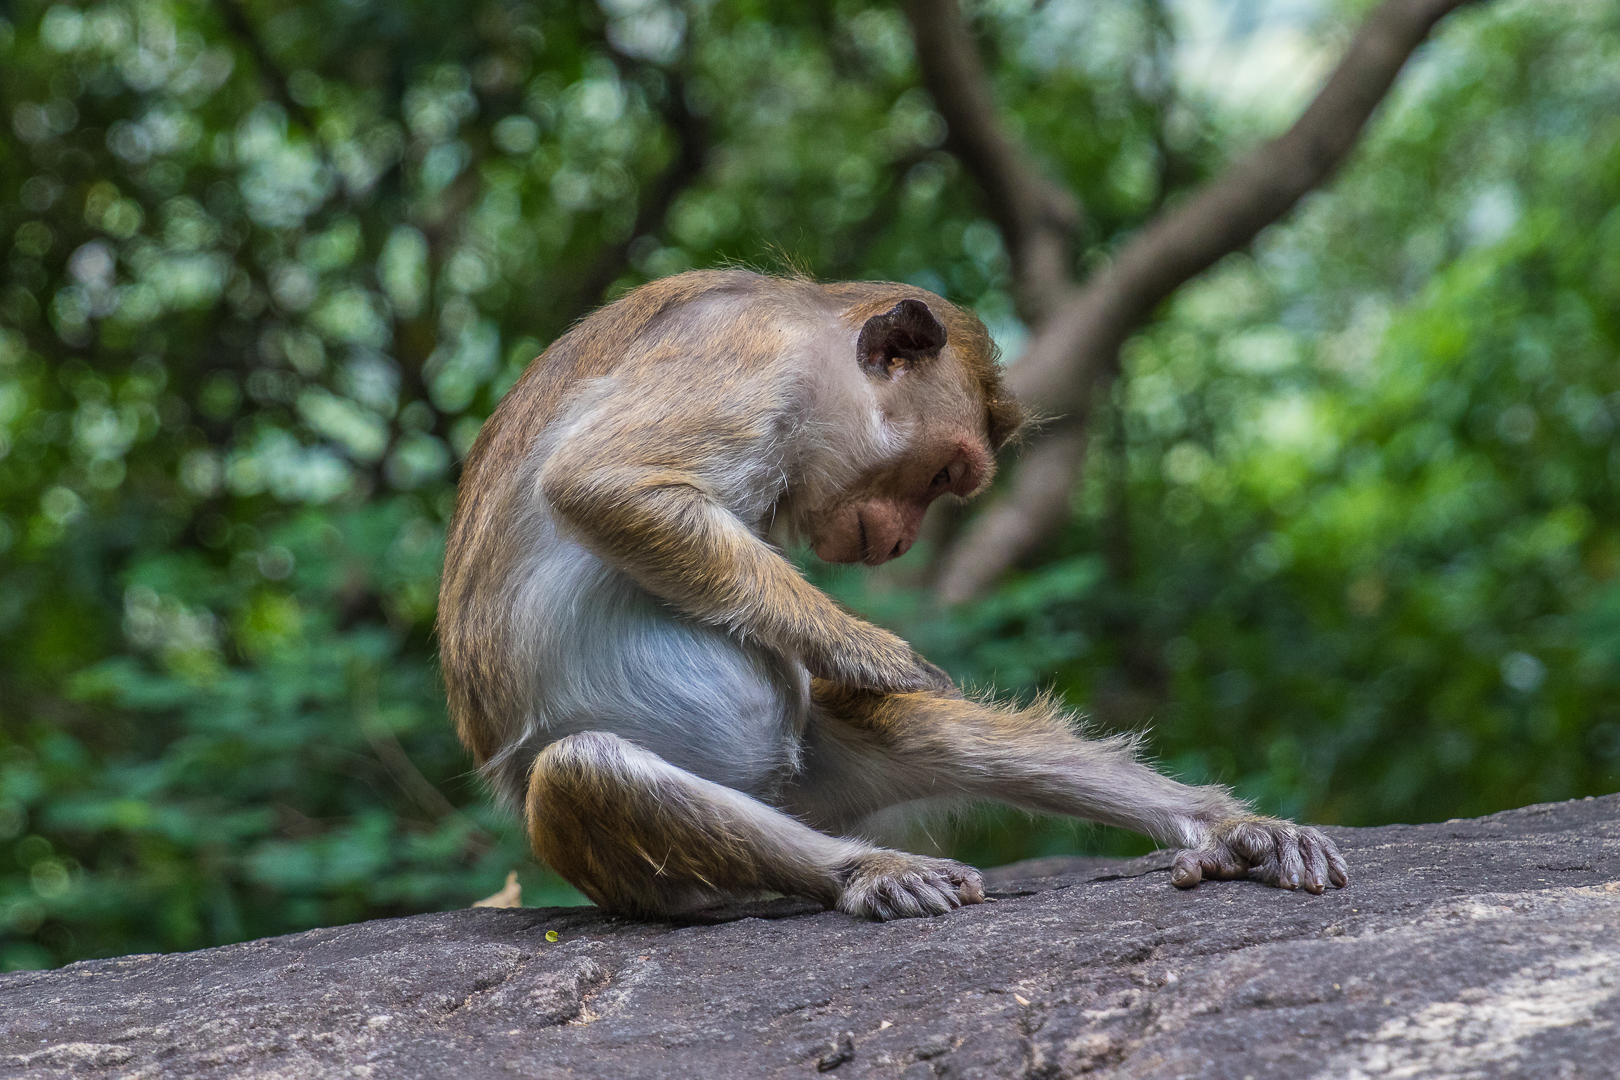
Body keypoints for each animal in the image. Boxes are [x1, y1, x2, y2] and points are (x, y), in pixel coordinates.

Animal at [437, 269, 1348, 921]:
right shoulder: (742, 354)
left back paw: (1228, 830)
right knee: (585, 770)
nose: (908, 539)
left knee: (913, 732)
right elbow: (602, 482)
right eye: (944, 474)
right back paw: (860, 870)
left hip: (811, 777)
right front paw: (873, 649)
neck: (807, 334)